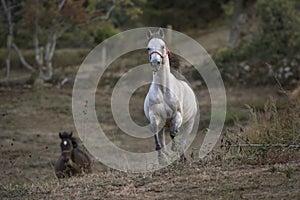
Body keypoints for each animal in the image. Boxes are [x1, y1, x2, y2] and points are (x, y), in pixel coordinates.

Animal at [144, 28, 198, 162]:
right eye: (148, 48)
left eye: (162, 46)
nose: (155, 63)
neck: (163, 91)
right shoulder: (155, 116)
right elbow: (155, 132)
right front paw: (161, 154)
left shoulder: (177, 115)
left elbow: (174, 132)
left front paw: (175, 148)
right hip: (163, 125)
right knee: (162, 137)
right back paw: (164, 157)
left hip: (189, 123)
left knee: (183, 138)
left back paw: (182, 156)